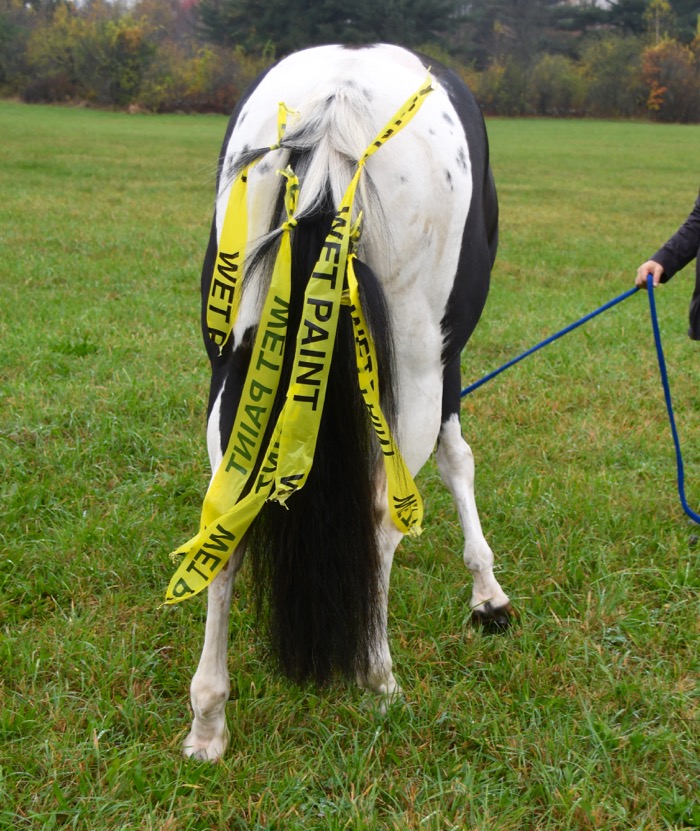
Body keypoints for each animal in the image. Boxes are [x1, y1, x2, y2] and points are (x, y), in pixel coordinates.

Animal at [174, 44, 516, 760]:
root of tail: (333, 118)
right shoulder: (446, 363)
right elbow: (458, 459)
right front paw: (488, 596)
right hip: (414, 364)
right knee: (384, 514)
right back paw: (378, 677)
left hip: (235, 361)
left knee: (225, 521)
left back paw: (208, 722)